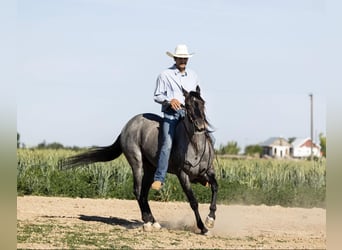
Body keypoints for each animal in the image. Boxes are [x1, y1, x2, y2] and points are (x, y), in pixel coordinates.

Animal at [59, 86, 218, 234]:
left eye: (202, 103)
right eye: (188, 105)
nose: (200, 126)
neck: (195, 146)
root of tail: (127, 126)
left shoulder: (207, 172)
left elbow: (215, 187)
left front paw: (210, 219)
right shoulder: (182, 175)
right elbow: (193, 201)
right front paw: (203, 228)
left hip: (150, 168)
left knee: (144, 193)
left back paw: (153, 222)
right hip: (137, 163)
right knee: (137, 190)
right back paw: (148, 222)